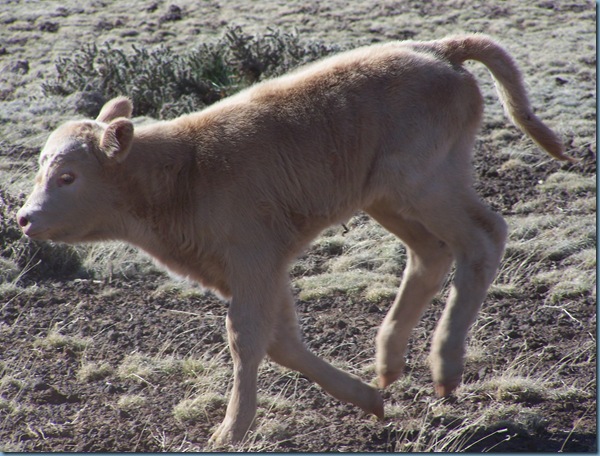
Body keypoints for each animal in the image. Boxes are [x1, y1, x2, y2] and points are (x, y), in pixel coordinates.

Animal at [16, 34, 573, 444]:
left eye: (67, 176)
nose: (23, 218)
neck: (184, 171)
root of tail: (438, 49)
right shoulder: (255, 270)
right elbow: (281, 339)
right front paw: (367, 399)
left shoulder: (253, 261)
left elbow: (246, 337)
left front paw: (229, 431)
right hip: (387, 198)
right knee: (430, 254)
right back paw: (388, 364)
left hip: (425, 185)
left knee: (482, 237)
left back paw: (445, 366)